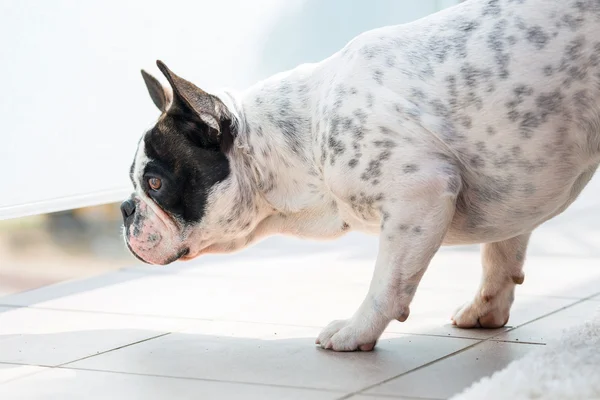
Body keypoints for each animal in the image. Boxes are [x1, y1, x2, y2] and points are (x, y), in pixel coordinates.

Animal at [119, 0, 600, 350]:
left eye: (156, 184)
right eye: (133, 184)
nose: (125, 209)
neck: (300, 140)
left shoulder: (419, 195)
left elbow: (387, 282)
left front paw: (356, 331)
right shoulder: (516, 191)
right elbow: (500, 256)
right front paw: (486, 310)